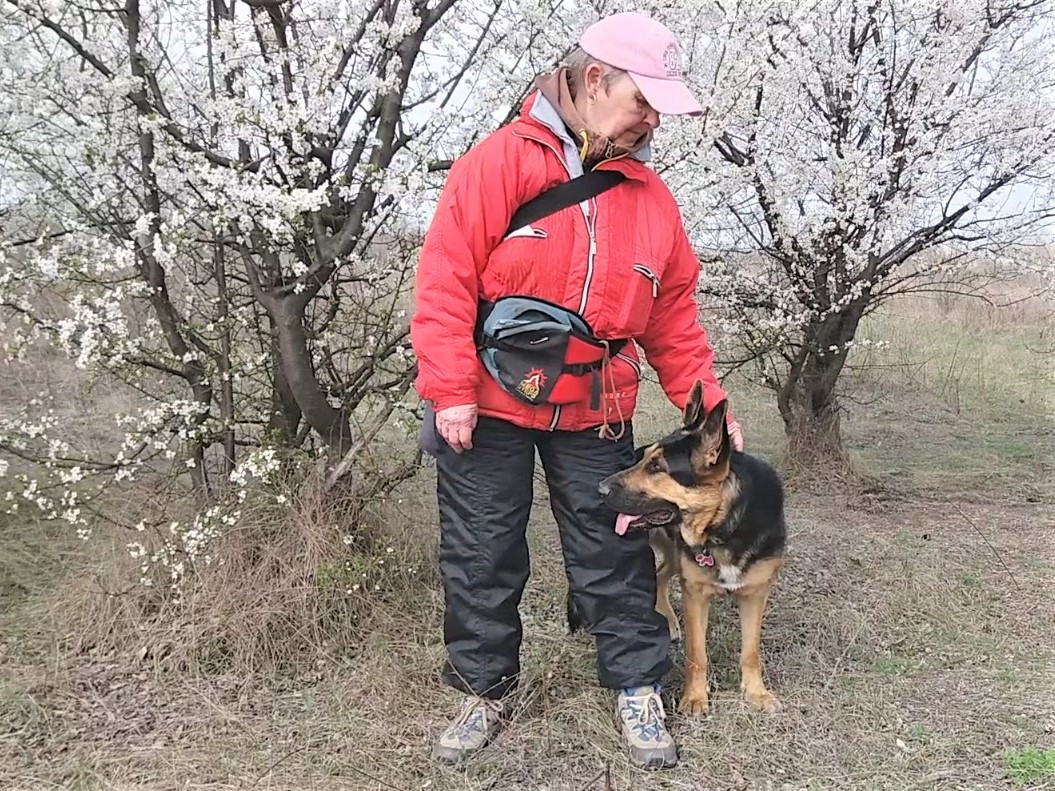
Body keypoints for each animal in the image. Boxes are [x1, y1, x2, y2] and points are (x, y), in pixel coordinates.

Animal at [582, 381, 789, 717]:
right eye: (646, 460)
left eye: (657, 467)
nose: (599, 489)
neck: (724, 525)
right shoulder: (695, 594)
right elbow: (697, 653)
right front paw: (694, 698)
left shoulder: (755, 593)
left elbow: (751, 650)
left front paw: (756, 693)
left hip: (676, 557)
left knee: (660, 575)